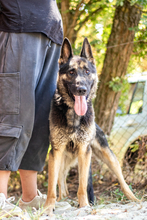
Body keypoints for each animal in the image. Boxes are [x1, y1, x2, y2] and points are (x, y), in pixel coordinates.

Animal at [44, 37, 139, 215]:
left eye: (87, 72)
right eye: (71, 72)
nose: (81, 89)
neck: (74, 116)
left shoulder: (84, 151)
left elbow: (82, 186)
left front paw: (84, 205)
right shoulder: (56, 152)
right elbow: (51, 186)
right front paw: (48, 207)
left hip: (108, 156)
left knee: (122, 180)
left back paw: (134, 199)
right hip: (63, 160)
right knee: (61, 181)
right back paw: (61, 200)